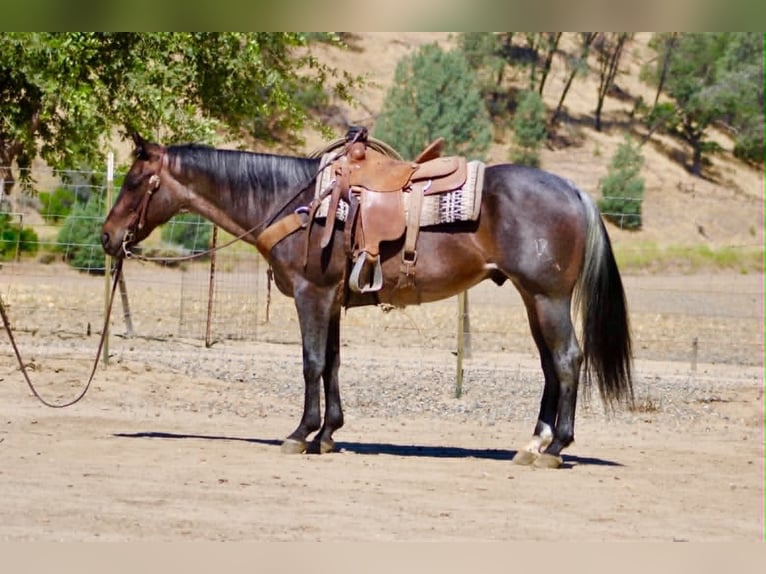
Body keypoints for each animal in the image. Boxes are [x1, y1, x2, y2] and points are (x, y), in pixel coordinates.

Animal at [101, 132, 633, 468]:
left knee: (567, 360)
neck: (295, 201)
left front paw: (300, 434)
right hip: (532, 298)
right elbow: (333, 363)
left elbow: (312, 362)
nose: (107, 237)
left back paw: (556, 448)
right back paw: (533, 443)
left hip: (547, 297)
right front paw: (328, 434)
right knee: (550, 365)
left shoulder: (310, 293)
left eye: (134, 182)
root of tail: (575, 191)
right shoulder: (331, 298)